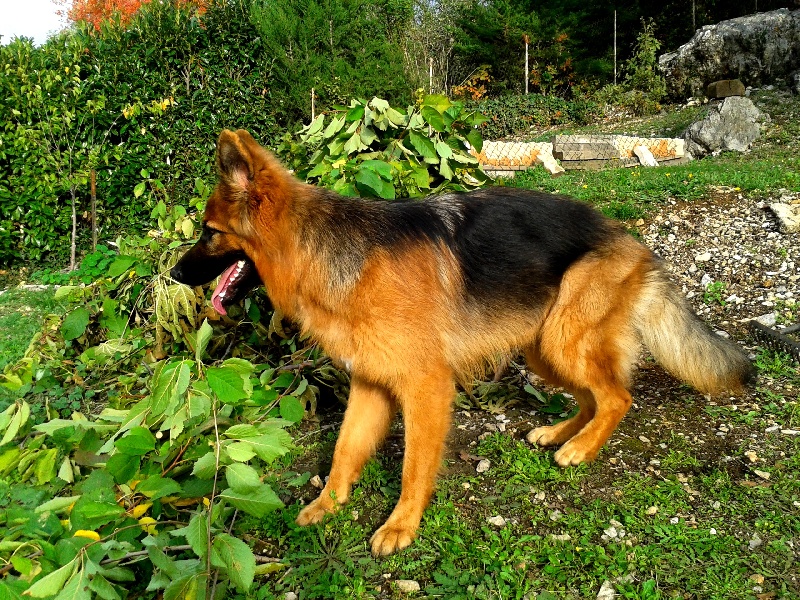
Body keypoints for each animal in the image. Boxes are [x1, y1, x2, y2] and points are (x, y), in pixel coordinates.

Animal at [172, 129, 752, 556]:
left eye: (209, 232)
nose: (175, 274)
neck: (330, 254)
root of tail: (628, 238)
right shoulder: (371, 384)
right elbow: (345, 448)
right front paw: (329, 504)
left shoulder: (425, 387)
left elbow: (413, 463)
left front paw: (401, 526)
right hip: (542, 348)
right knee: (592, 396)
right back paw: (559, 434)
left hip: (563, 341)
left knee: (618, 396)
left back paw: (580, 449)